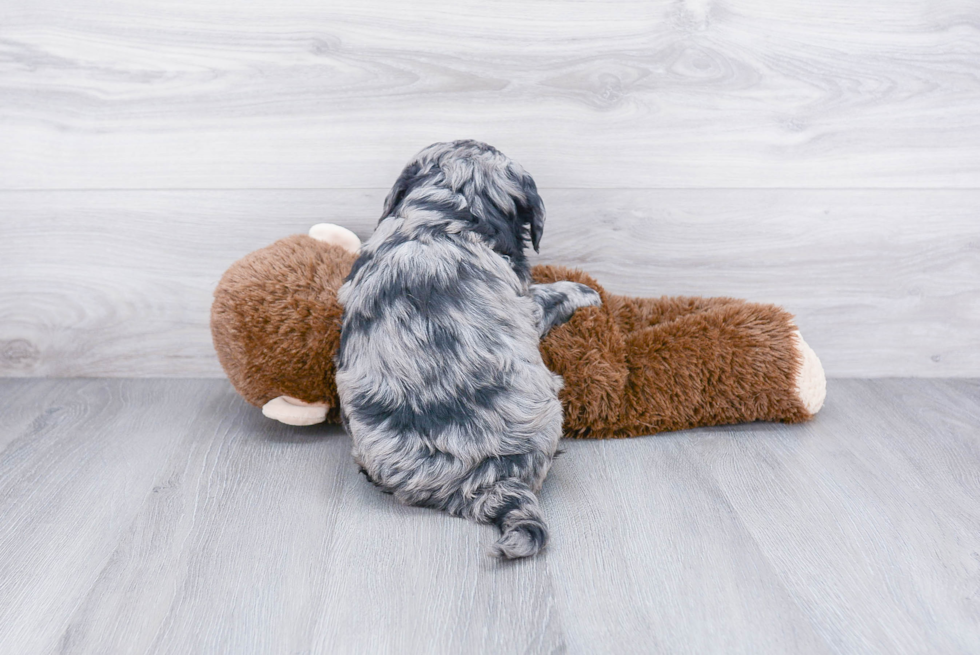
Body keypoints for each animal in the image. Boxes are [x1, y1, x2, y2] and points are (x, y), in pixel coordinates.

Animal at [334, 140, 596, 560]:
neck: (439, 219)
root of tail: (481, 479)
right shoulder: (526, 305)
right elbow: (548, 295)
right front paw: (584, 291)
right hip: (549, 411)